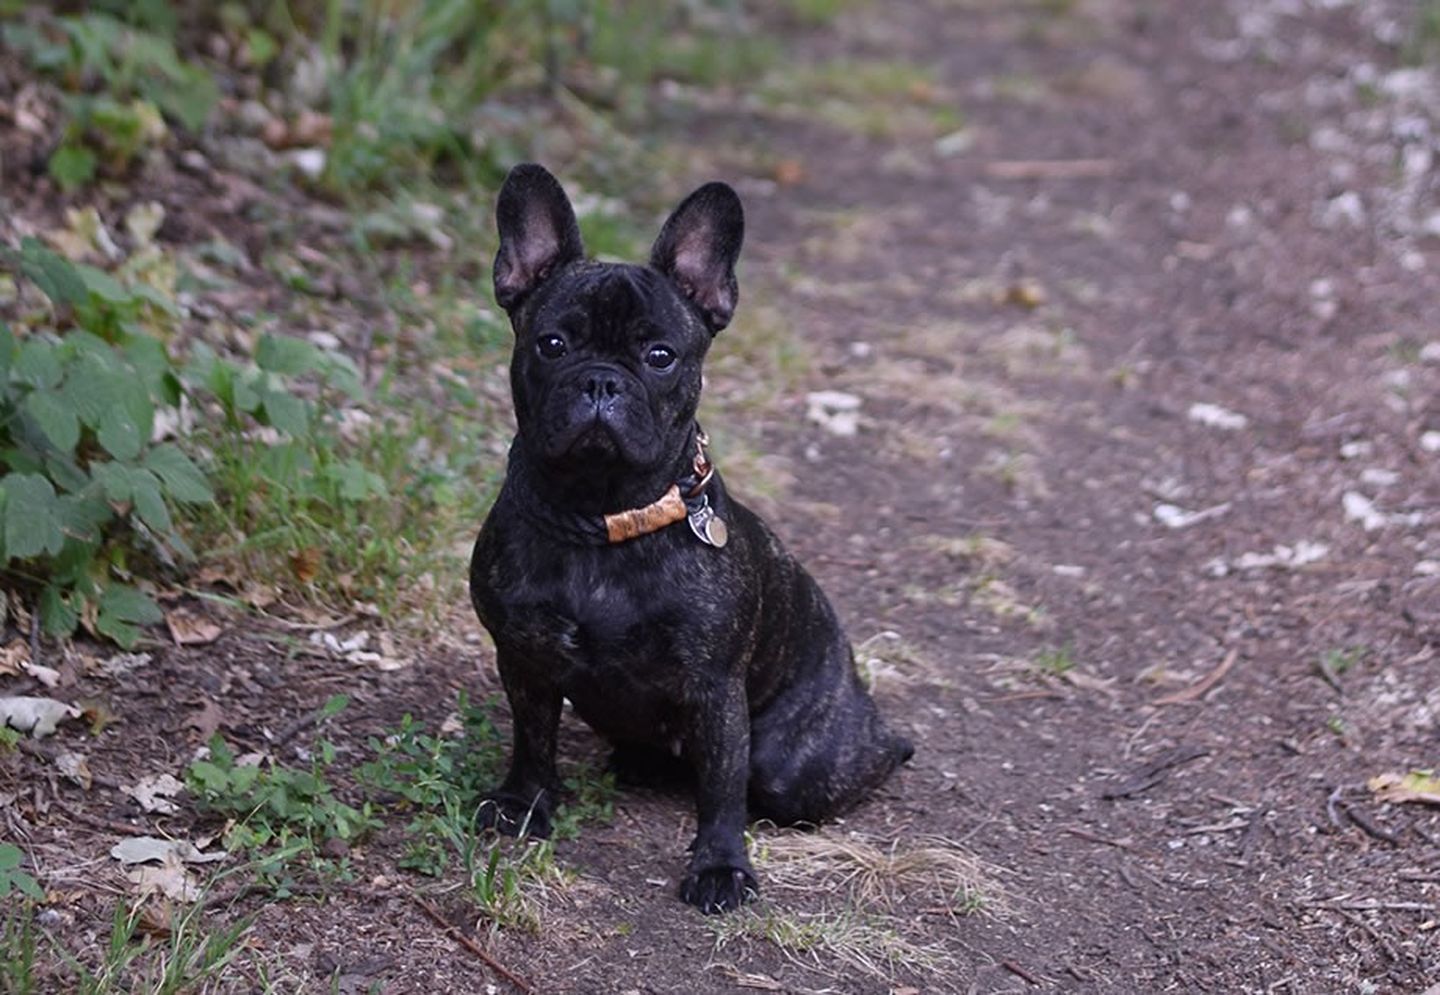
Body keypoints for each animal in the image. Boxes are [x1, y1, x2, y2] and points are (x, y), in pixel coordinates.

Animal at [472, 165, 910, 915]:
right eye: (552, 344)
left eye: (660, 356)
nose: (601, 380)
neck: (602, 515)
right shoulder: (523, 657)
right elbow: (532, 738)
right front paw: (524, 803)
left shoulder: (714, 688)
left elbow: (722, 787)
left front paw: (721, 866)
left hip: (796, 766)